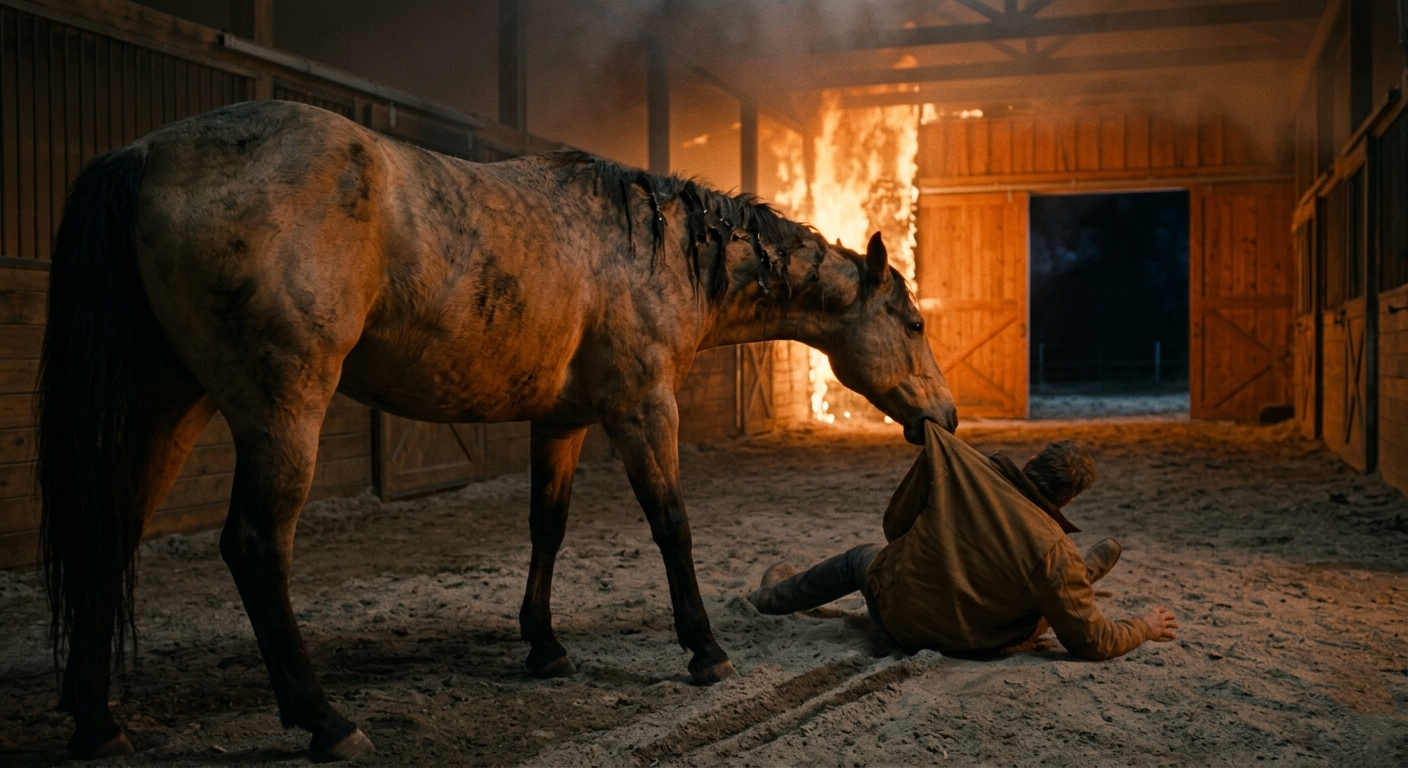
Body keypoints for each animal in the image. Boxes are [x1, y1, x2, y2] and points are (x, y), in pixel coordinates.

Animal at [38, 100, 957, 761]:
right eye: (912, 322)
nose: (944, 417)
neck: (654, 249)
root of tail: (146, 155)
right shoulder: (641, 407)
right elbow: (672, 525)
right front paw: (704, 649)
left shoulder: (562, 421)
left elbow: (546, 528)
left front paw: (544, 646)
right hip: (280, 409)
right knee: (256, 546)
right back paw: (324, 721)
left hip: (168, 406)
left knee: (109, 535)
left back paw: (96, 723)